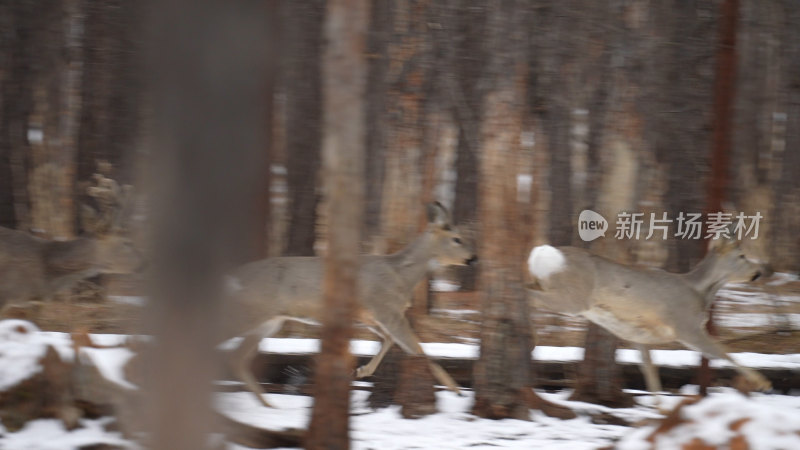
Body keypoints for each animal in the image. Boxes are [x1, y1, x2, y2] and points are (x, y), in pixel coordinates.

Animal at [222, 202, 478, 406]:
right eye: (457, 239)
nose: (474, 258)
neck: (401, 276)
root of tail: (233, 277)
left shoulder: (370, 315)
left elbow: (389, 340)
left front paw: (363, 370)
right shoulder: (386, 309)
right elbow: (420, 351)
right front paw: (457, 392)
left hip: (269, 321)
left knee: (237, 358)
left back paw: (268, 405)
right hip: (249, 313)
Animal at [524, 237, 768, 402]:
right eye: (742, 255)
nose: (758, 271)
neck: (698, 292)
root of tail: (543, 252)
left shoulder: (638, 335)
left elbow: (650, 371)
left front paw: (660, 412)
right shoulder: (686, 326)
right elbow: (723, 352)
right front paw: (762, 383)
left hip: (556, 290)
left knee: (529, 288)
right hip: (574, 299)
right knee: (525, 292)